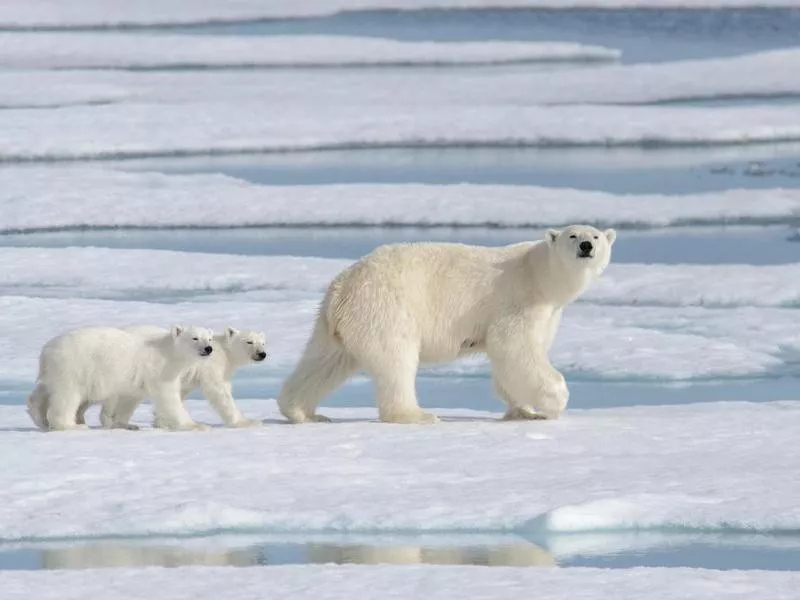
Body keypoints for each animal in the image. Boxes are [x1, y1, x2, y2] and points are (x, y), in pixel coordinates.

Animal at [278, 223, 616, 424]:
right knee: (395, 361)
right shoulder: (519, 301)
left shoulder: (548, 313)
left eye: (596, 235)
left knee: (324, 362)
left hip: (336, 324)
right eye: (573, 235)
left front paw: (523, 410)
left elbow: (510, 360)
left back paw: (302, 411)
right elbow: (514, 348)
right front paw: (555, 401)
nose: (586, 246)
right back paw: (416, 414)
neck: (539, 274)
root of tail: (342, 287)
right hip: (386, 309)